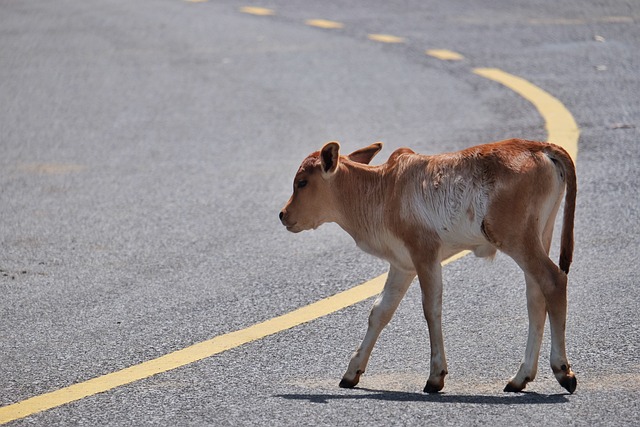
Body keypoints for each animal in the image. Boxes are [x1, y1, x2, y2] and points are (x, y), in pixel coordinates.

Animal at [278, 140, 576, 394]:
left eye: (302, 182)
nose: (283, 214)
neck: (383, 189)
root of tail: (539, 146)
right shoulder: (402, 265)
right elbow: (380, 312)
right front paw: (352, 372)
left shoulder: (425, 255)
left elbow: (431, 310)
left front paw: (435, 376)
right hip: (540, 235)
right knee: (536, 298)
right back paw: (520, 377)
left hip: (517, 239)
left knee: (554, 281)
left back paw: (563, 371)